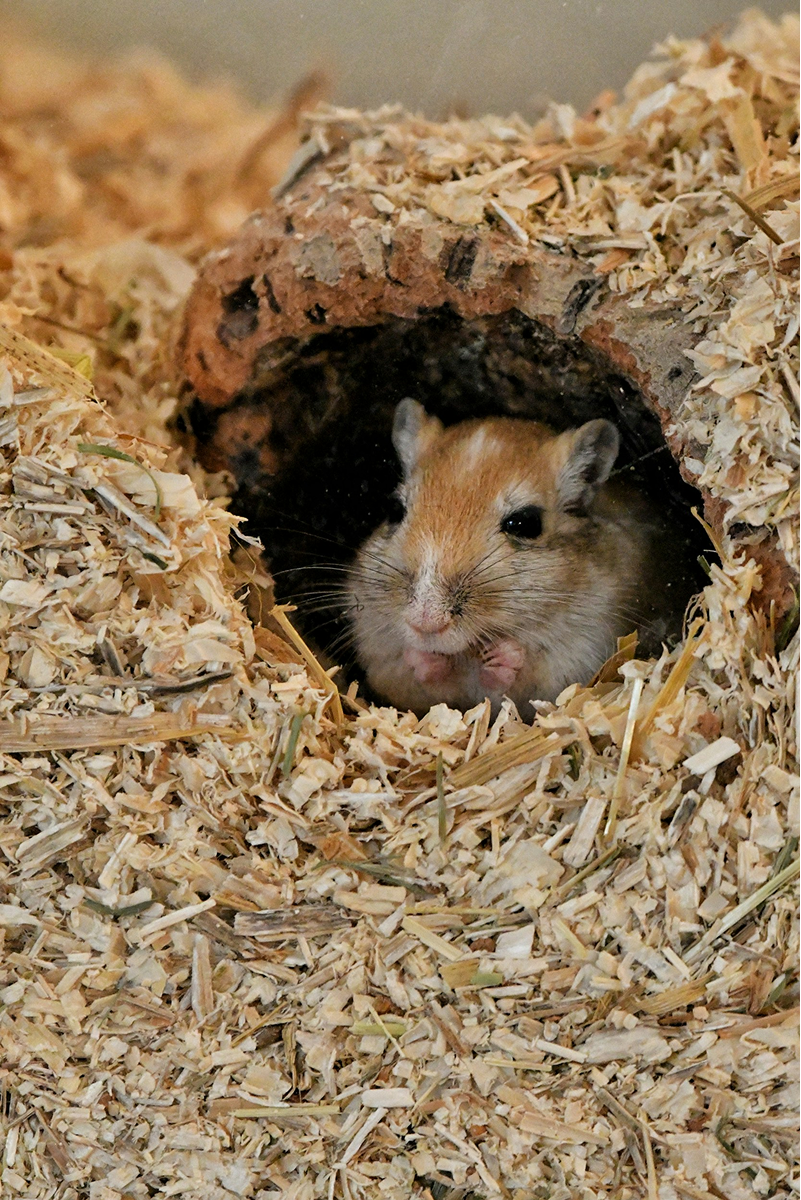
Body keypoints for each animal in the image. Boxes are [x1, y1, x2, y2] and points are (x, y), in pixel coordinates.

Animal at [345, 398, 690, 717]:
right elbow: (418, 677)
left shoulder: (580, 653)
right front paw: (423, 656)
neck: (468, 651)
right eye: (394, 509)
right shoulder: (381, 656)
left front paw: (504, 656)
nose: (425, 623)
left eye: (526, 523)